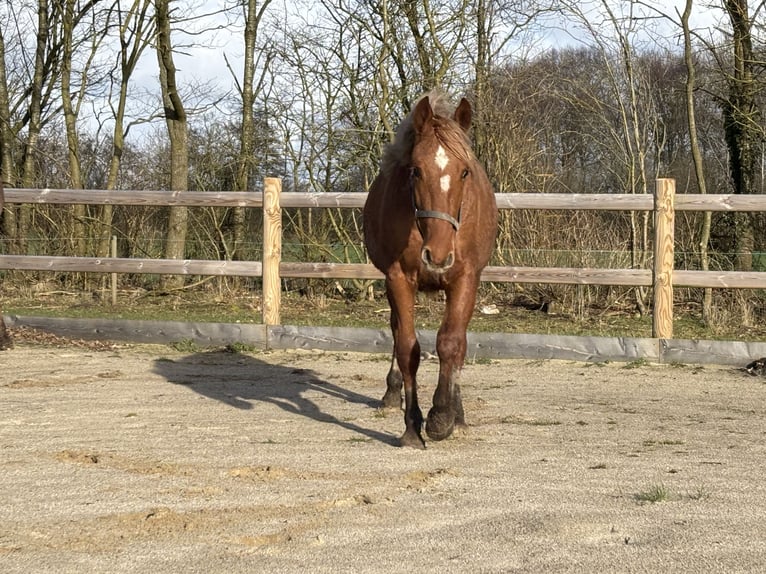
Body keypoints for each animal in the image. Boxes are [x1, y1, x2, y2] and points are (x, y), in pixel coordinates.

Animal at [363, 91, 498, 448]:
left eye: (465, 172)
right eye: (416, 171)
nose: (436, 256)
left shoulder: (465, 278)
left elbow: (451, 343)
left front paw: (443, 416)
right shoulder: (397, 279)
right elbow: (408, 347)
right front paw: (413, 426)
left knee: (458, 344)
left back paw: (457, 413)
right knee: (396, 331)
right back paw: (392, 393)